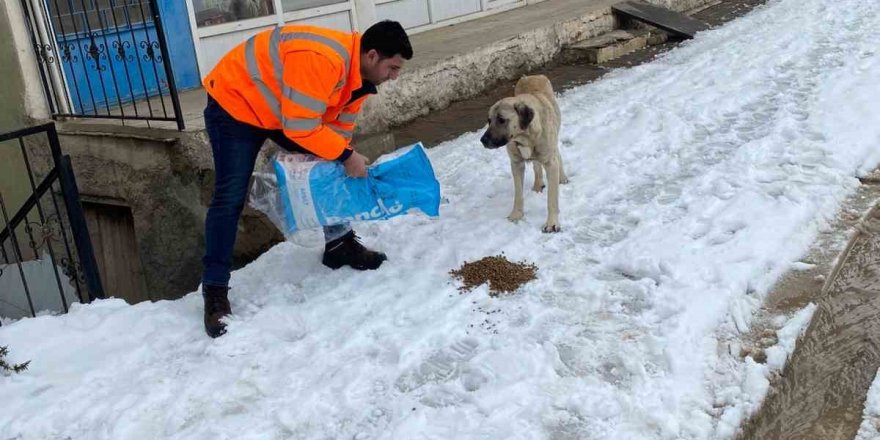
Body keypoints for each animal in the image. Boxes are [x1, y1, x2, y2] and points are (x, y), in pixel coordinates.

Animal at [478, 75, 568, 234]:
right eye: (489, 121)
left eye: (501, 119)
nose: (483, 141)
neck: (524, 137)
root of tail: (532, 75)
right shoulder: (516, 164)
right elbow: (518, 194)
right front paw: (516, 215)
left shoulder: (550, 163)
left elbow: (552, 198)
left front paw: (552, 223)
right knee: (536, 165)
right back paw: (538, 184)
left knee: (557, 155)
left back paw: (562, 177)